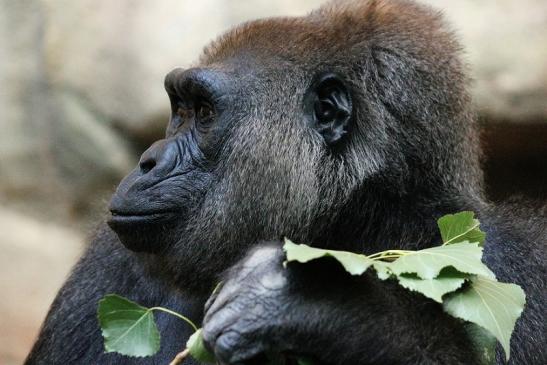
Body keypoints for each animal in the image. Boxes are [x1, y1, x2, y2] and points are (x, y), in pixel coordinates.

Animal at [26, 0, 547, 362]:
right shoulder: (108, 264)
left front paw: (330, 308)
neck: (355, 222)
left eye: (204, 112)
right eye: (180, 108)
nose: (148, 161)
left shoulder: (514, 259)